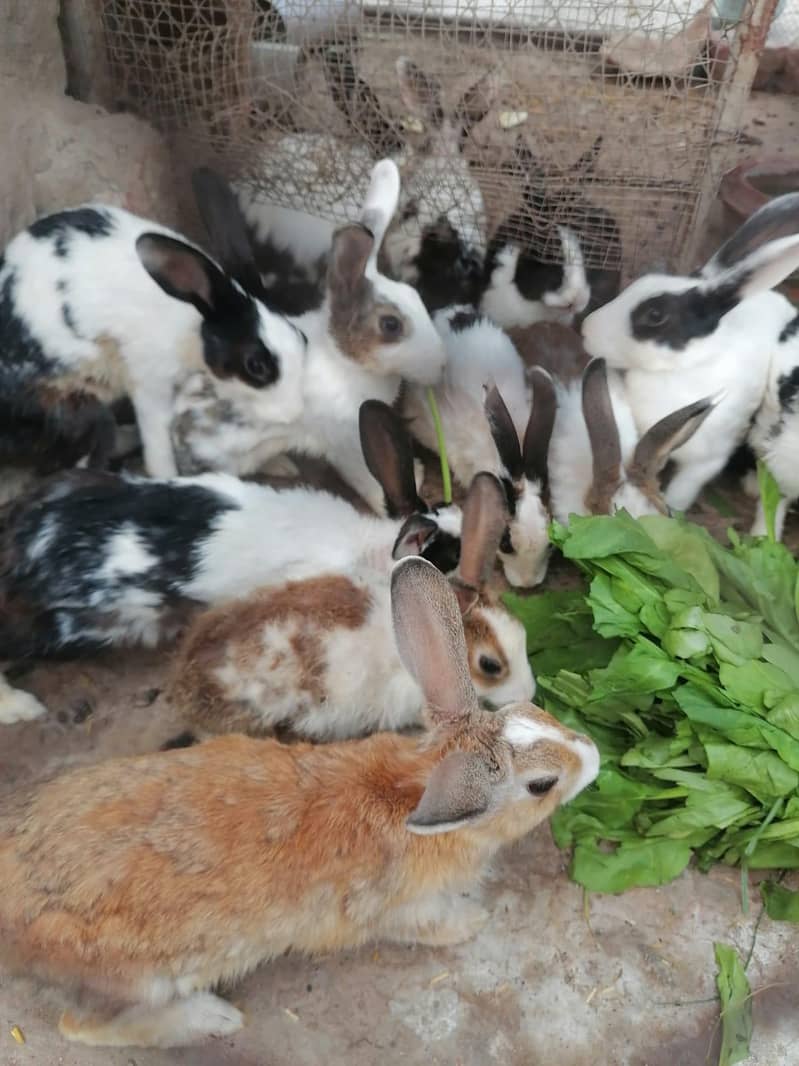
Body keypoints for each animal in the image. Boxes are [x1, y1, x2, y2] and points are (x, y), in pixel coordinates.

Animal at [0, 204, 306, 478]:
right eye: (255, 366)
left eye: (302, 338)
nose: (294, 412)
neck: (196, 330)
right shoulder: (151, 385)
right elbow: (158, 441)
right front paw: (166, 478)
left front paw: (281, 465)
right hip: (79, 409)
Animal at [0, 555, 599, 1049]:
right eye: (542, 784)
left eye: (535, 715)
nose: (592, 758)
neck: (420, 788)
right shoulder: (401, 910)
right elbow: (432, 925)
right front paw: (472, 921)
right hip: (140, 979)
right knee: (81, 1025)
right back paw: (213, 1019)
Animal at [177, 160, 446, 512]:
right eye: (390, 325)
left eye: (416, 296)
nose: (441, 365)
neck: (343, 361)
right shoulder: (346, 441)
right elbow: (367, 477)